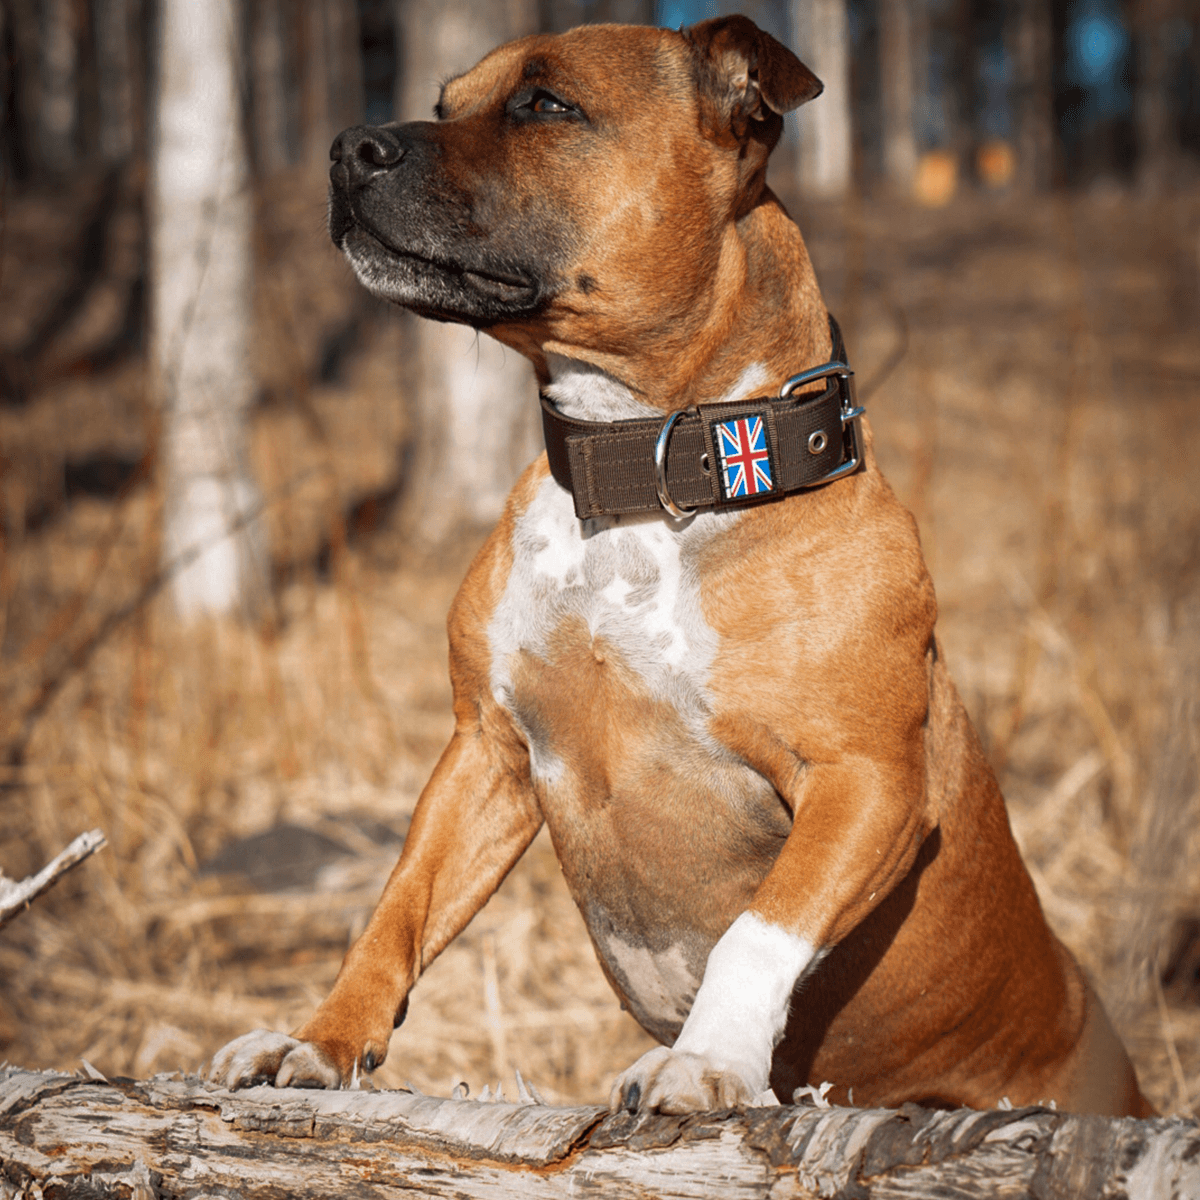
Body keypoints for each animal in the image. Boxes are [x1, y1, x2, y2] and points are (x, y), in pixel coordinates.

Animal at [208, 14, 1152, 1113]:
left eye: (545, 104)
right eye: (446, 103)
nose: (347, 146)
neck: (648, 462)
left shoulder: (866, 782)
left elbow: (759, 928)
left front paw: (707, 1058)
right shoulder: (484, 751)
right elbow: (398, 907)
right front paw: (316, 1041)